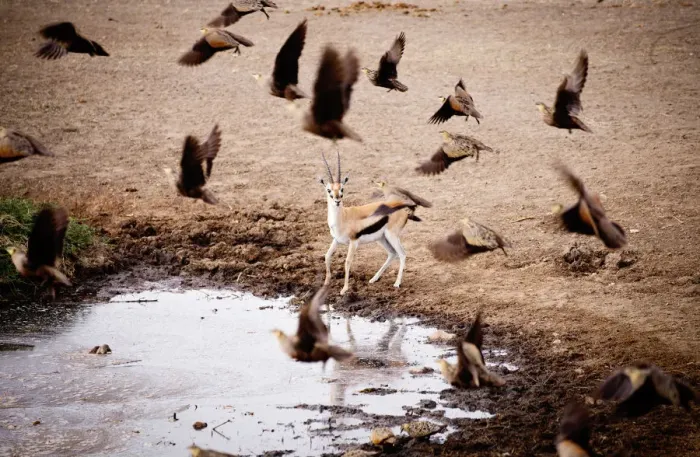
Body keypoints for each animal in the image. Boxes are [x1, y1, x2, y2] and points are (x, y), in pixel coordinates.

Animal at [320, 150, 423, 295]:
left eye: (342, 189)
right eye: (329, 190)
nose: (337, 200)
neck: (343, 218)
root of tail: (403, 209)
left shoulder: (353, 242)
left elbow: (347, 262)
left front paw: (344, 289)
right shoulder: (336, 240)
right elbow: (327, 256)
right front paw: (326, 283)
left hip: (391, 236)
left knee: (402, 254)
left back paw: (397, 283)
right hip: (381, 238)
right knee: (392, 253)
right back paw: (374, 279)